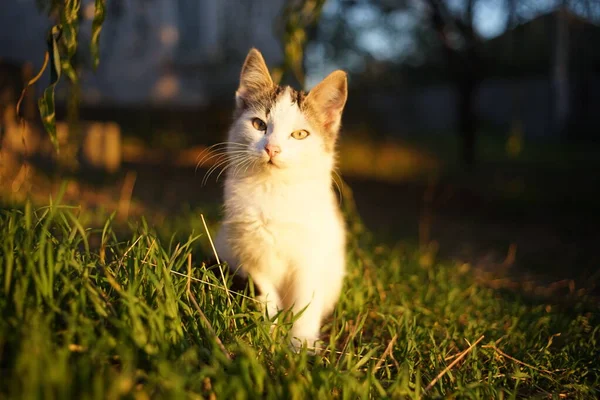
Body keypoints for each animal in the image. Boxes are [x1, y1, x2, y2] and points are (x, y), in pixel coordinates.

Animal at [214, 49, 346, 350]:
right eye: (258, 124)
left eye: (300, 134)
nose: (272, 148)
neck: (273, 188)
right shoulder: (251, 257)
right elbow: (266, 296)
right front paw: (267, 334)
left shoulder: (311, 256)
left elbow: (306, 301)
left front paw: (301, 344)